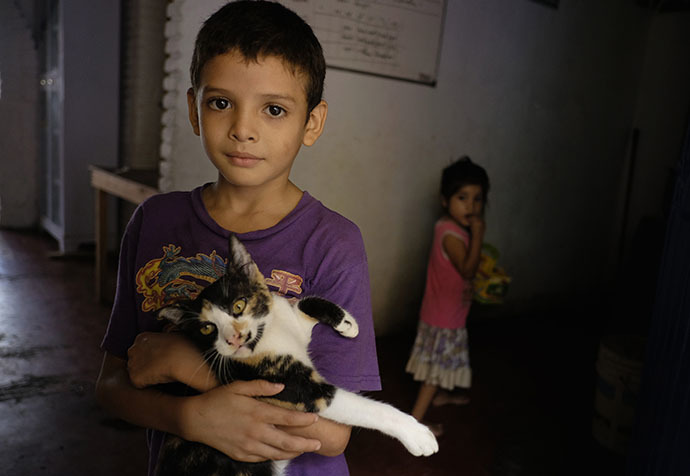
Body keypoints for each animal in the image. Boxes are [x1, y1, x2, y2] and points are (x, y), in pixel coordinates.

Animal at [155, 235, 436, 476]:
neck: (268, 332)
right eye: (207, 328)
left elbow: (304, 304)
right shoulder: (294, 388)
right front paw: (417, 434)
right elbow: (363, 407)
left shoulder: (293, 321)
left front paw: (347, 323)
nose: (233, 338)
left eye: (238, 305)